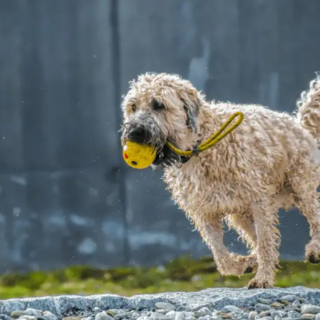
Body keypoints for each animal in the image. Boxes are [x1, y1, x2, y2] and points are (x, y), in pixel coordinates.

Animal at [120, 73, 320, 290]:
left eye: (158, 105)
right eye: (133, 106)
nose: (134, 132)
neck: (200, 144)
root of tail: (300, 126)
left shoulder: (259, 201)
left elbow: (265, 242)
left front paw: (263, 278)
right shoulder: (204, 211)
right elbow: (220, 253)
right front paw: (243, 264)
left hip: (301, 187)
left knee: (314, 217)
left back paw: (314, 250)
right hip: (241, 214)